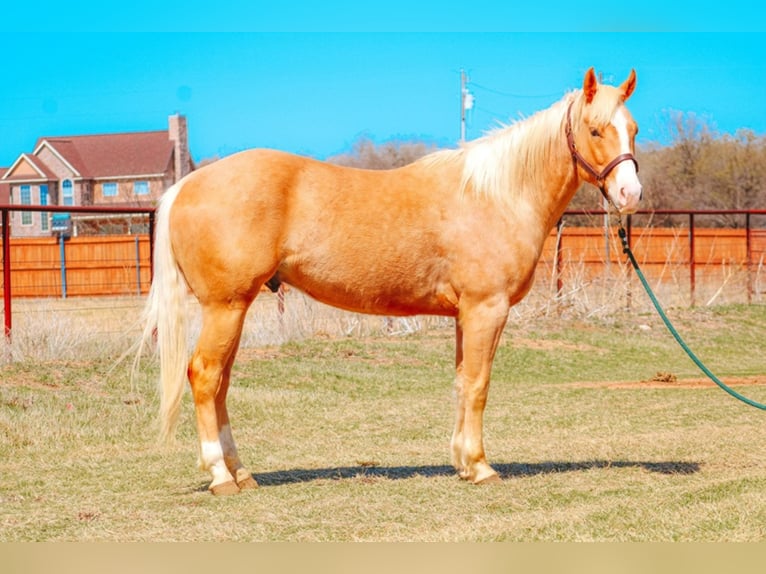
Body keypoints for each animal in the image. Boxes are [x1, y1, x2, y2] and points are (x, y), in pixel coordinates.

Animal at [136, 66, 640, 496]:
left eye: (633, 129)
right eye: (596, 130)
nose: (630, 194)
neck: (496, 195)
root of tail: (187, 185)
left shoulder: (465, 315)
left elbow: (462, 383)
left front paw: (462, 463)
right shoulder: (486, 309)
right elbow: (479, 385)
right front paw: (480, 467)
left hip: (233, 310)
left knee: (220, 381)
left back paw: (241, 473)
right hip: (225, 307)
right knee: (205, 375)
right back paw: (221, 475)